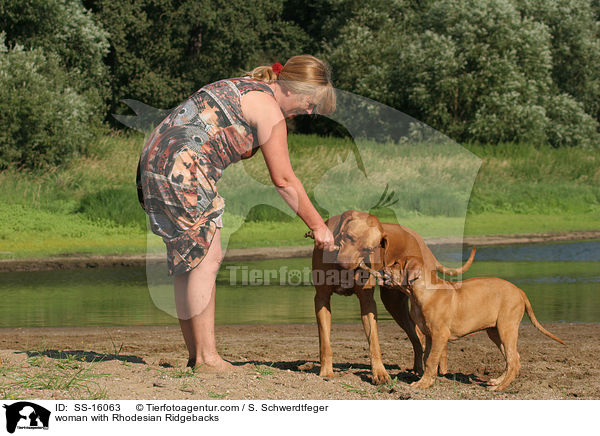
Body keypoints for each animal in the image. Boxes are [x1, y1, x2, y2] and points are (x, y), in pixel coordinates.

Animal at [310, 211, 474, 384]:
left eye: (368, 249)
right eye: (348, 236)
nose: (343, 266)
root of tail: (421, 241)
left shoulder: (367, 302)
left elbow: (374, 342)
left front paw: (380, 373)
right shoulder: (321, 298)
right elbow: (325, 342)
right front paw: (326, 371)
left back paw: (440, 369)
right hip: (396, 303)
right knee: (417, 337)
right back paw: (418, 368)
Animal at [384, 255, 568, 392]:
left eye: (396, 263)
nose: (382, 268)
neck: (420, 292)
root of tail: (519, 291)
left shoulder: (439, 335)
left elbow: (431, 360)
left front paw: (423, 383)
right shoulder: (429, 335)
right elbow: (426, 357)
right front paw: (427, 380)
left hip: (506, 328)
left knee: (514, 360)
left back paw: (500, 388)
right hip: (495, 332)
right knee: (513, 358)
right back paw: (498, 381)